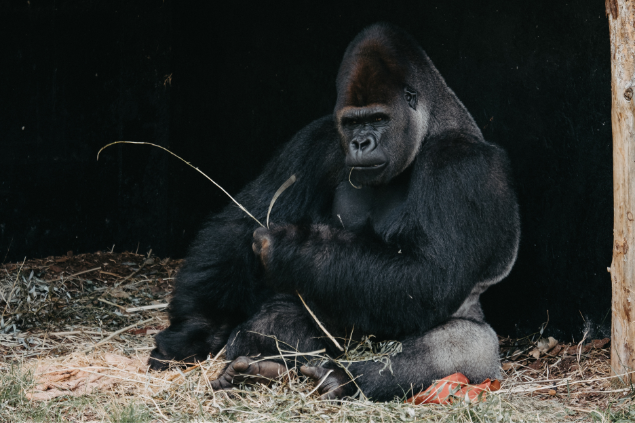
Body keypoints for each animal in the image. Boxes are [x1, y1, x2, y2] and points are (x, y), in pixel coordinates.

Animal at [150, 24, 520, 402]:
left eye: (378, 119)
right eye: (352, 122)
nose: (360, 143)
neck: (433, 124)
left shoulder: (461, 166)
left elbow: (431, 275)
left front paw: (287, 246)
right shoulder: (318, 139)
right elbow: (239, 224)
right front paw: (195, 329)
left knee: (464, 346)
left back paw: (344, 378)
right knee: (280, 316)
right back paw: (262, 368)